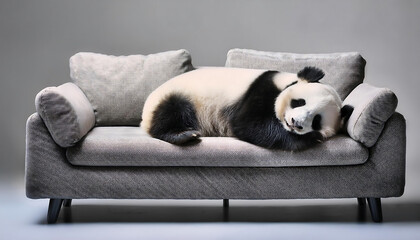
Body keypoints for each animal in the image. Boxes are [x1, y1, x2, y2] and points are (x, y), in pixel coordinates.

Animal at [139, 66, 352, 151]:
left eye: (316, 120)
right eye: (299, 102)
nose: (296, 123)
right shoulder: (262, 88)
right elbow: (249, 124)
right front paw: (310, 138)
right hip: (179, 95)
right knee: (173, 111)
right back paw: (183, 134)